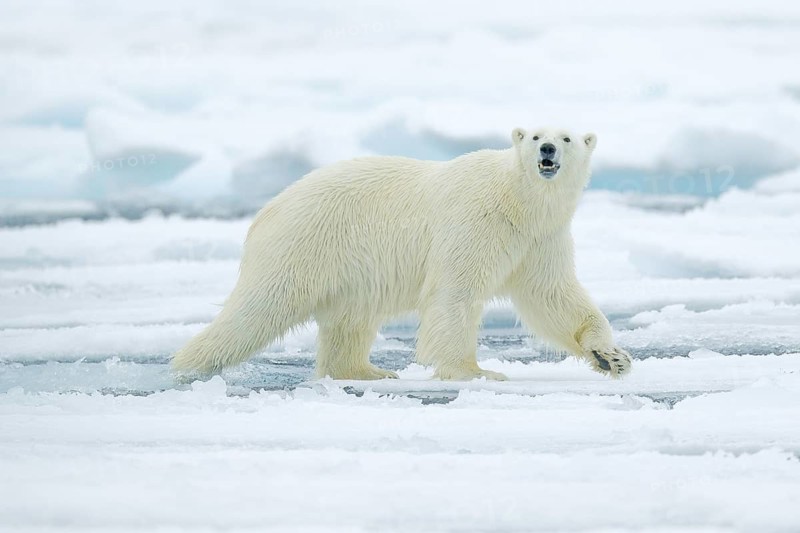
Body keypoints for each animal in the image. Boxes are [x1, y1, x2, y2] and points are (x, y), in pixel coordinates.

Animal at [172, 127, 632, 381]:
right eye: (536, 135)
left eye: (566, 137)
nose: (547, 151)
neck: (516, 200)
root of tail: (269, 209)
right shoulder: (477, 222)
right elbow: (455, 294)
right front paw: (475, 371)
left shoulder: (539, 239)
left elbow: (552, 297)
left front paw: (611, 357)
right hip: (304, 244)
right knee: (256, 310)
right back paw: (188, 364)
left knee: (350, 319)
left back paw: (367, 370)